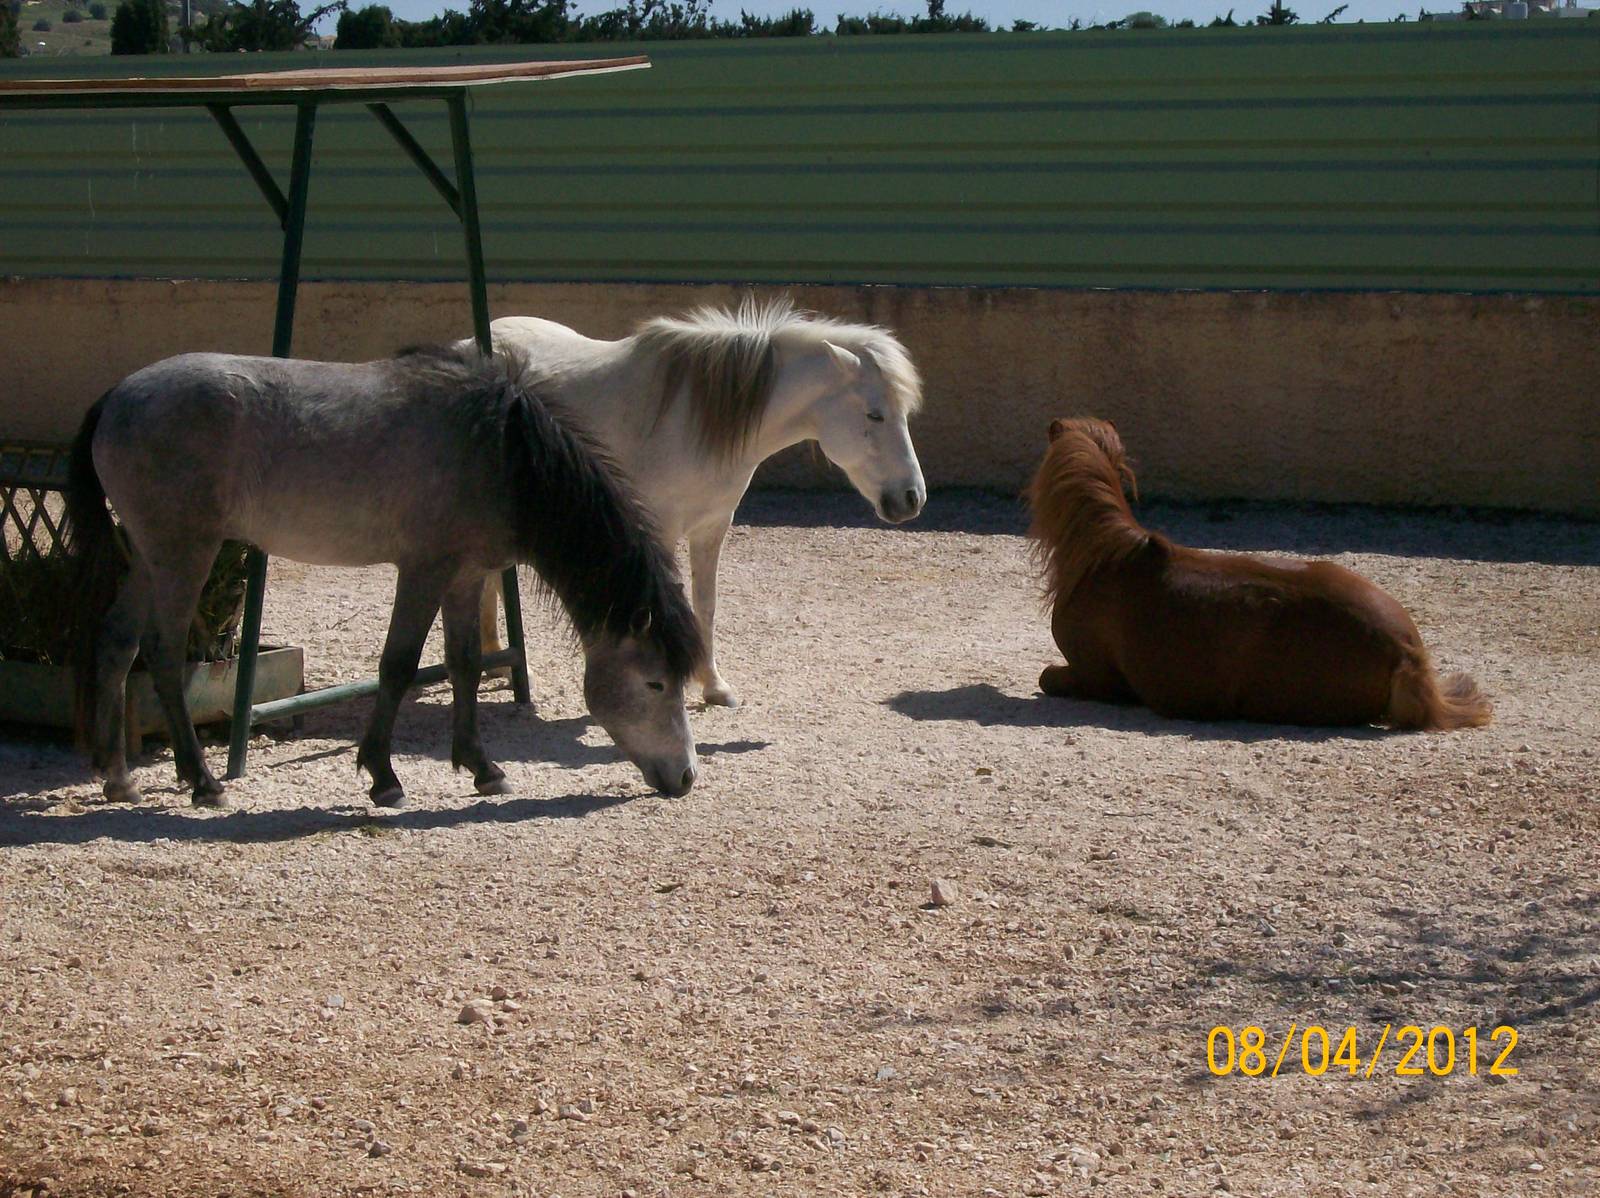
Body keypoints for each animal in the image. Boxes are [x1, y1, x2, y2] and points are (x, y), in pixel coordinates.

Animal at [64, 344, 705, 809]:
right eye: (656, 683)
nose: (686, 777)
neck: (499, 452)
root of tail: (117, 395)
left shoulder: (466, 576)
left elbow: (464, 665)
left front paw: (483, 768)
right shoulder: (423, 570)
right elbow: (399, 666)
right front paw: (383, 776)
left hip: (150, 559)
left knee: (117, 643)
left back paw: (120, 780)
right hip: (183, 555)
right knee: (164, 654)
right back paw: (203, 782)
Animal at [479, 297, 926, 707]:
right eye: (874, 415)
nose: (911, 498)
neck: (693, 419)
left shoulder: (712, 526)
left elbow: (705, 605)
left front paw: (713, 685)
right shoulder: (660, 531)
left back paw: (499, 661)